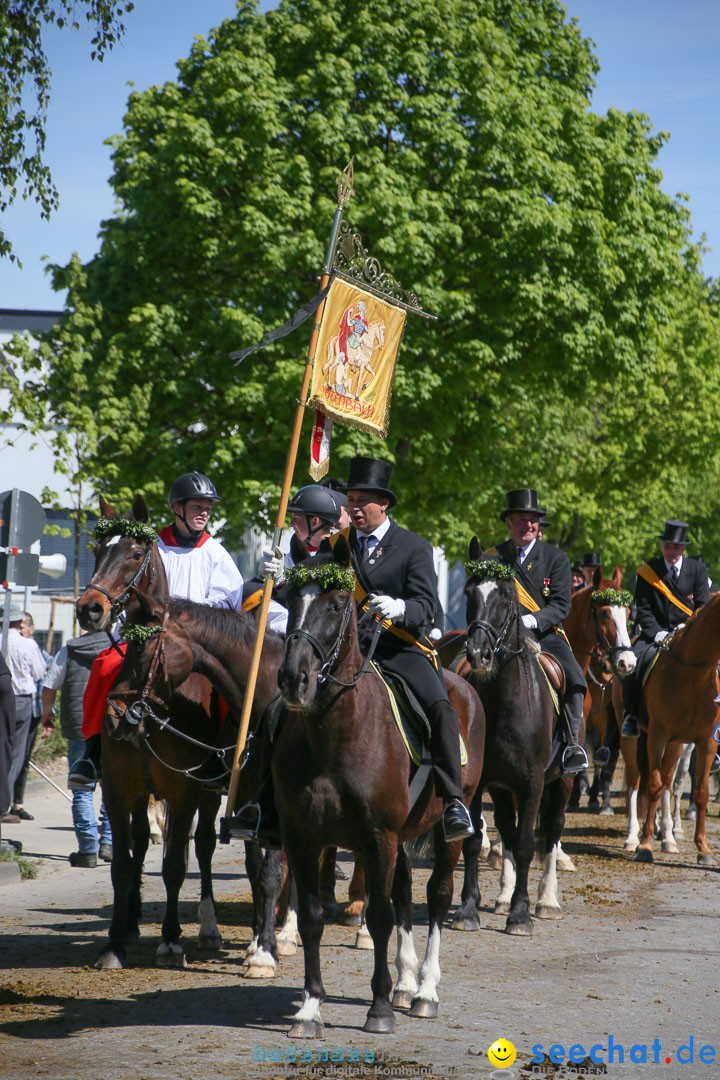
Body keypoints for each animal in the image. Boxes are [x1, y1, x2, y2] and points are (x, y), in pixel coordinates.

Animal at [274, 535, 483, 1032]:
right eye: (287, 599)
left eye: (336, 604)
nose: (293, 679)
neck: (334, 732)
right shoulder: (302, 836)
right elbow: (312, 917)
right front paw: (310, 1007)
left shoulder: (377, 837)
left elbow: (381, 917)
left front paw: (380, 1007)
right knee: (406, 892)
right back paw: (406, 983)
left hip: (444, 828)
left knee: (437, 894)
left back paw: (424, 990)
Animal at [455, 540, 587, 937]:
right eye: (468, 593)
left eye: (505, 596)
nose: (478, 654)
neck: (503, 700)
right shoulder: (481, 780)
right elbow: (475, 840)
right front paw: (468, 909)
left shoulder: (533, 781)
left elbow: (529, 844)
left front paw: (521, 914)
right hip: (501, 786)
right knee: (506, 828)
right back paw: (502, 896)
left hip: (562, 781)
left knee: (553, 829)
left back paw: (547, 900)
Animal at [634, 587, 720, 864]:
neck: (694, 675)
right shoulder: (657, 735)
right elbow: (652, 785)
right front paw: (644, 846)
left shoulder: (707, 742)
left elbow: (700, 792)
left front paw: (703, 849)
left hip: (676, 745)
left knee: (668, 780)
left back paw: (667, 835)